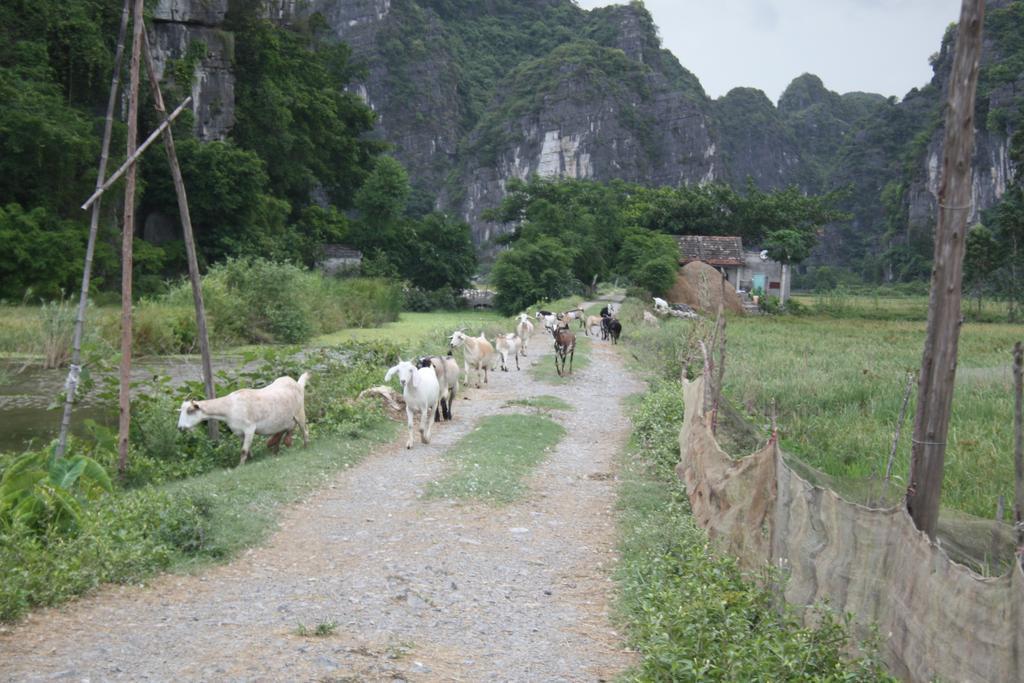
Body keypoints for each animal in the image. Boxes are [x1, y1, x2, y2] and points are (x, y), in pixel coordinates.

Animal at [178, 374, 309, 464]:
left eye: (190, 411)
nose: (180, 428)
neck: (230, 407)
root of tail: (297, 383)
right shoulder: (239, 432)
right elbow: (247, 449)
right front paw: (250, 460)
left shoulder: (249, 428)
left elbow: (244, 450)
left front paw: (240, 466)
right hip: (284, 419)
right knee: (284, 431)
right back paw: (275, 449)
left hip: (300, 413)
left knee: (304, 430)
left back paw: (305, 447)